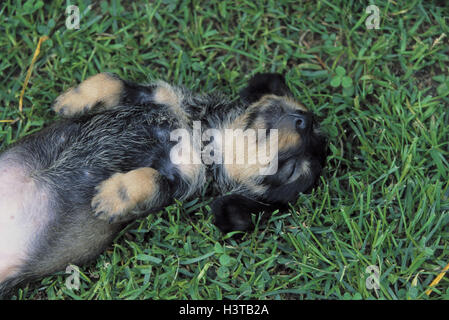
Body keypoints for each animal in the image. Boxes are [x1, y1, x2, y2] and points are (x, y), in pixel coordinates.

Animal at [0, 72, 326, 298]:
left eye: (290, 170)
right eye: (304, 114)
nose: (304, 122)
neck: (202, 135)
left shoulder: (179, 181)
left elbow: (150, 179)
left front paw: (111, 197)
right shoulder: (158, 96)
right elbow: (113, 80)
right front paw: (73, 99)